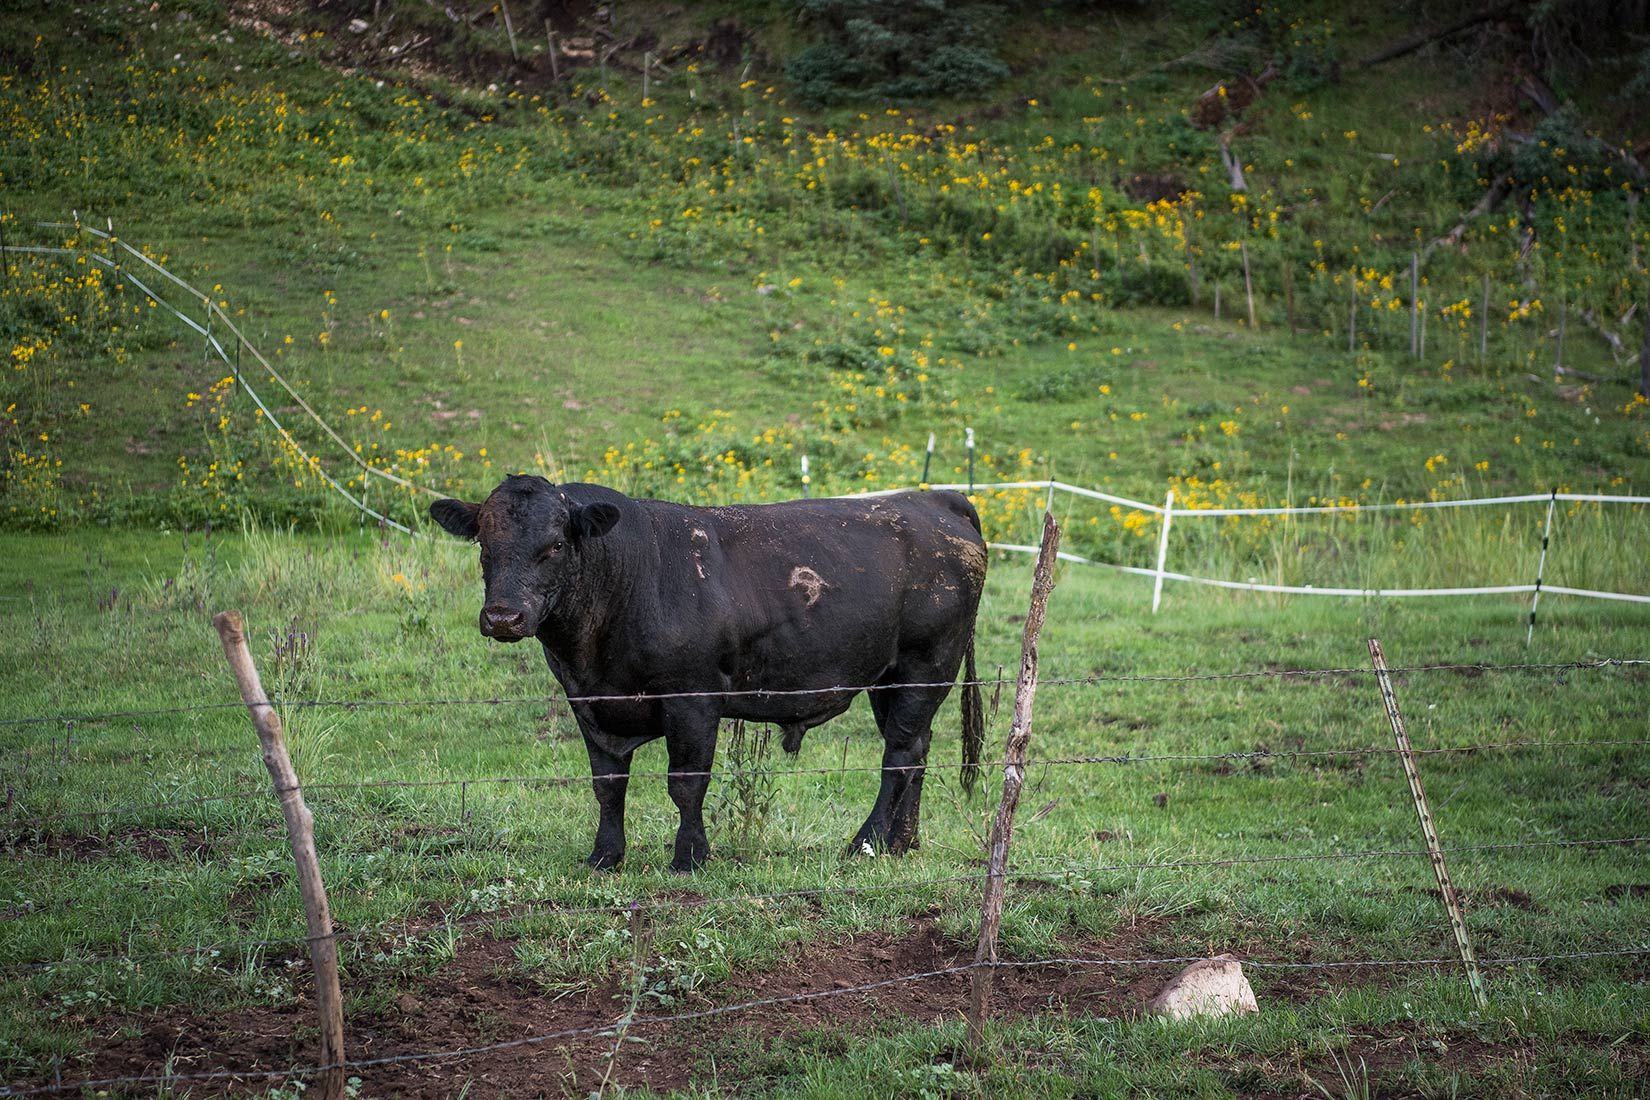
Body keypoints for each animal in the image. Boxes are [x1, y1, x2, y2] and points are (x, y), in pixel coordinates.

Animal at [430, 474, 987, 873]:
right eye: (483, 545)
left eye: (556, 546)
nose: (503, 617)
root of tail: (936, 501)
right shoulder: (588, 702)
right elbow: (607, 784)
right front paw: (604, 856)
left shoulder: (692, 697)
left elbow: (686, 782)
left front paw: (690, 856)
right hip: (887, 677)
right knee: (916, 749)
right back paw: (902, 843)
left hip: (926, 664)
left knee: (899, 754)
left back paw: (867, 843)